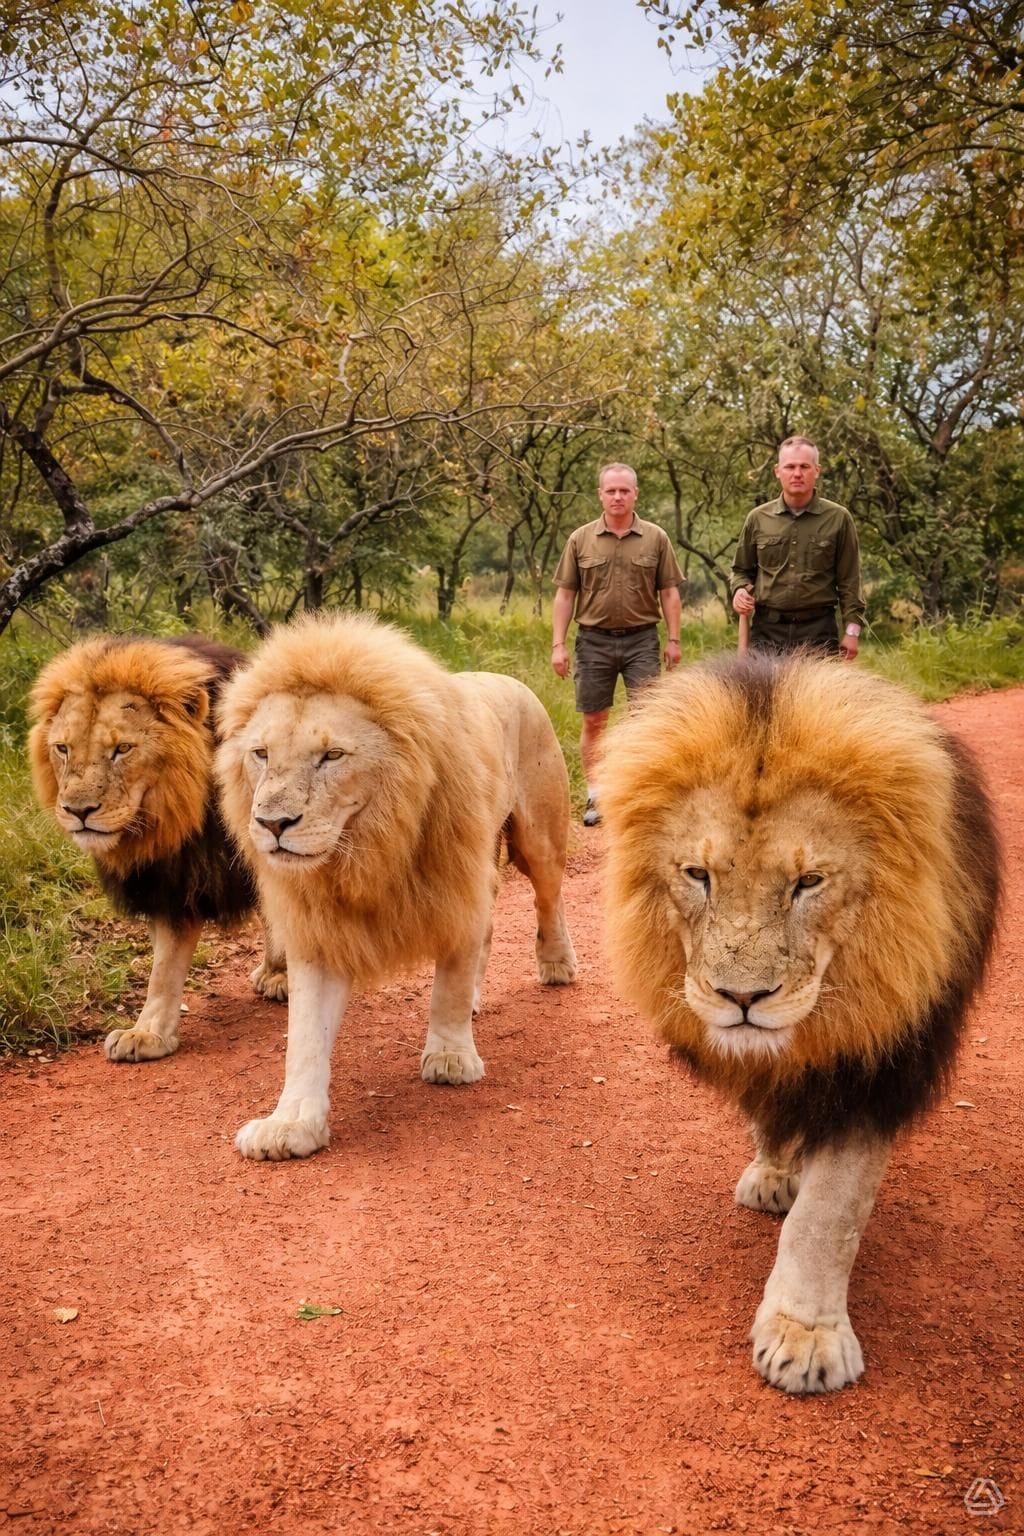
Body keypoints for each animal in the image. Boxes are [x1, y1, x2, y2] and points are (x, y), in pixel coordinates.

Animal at [29, 635, 287, 1062]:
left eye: (122, 749)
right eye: (63, 748)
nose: (78, 811)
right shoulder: (166, 880)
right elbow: (163, 967)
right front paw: (149, 1032)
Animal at [214, 610, 578, 1162]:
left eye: (332, 755)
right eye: (261, 754)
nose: (273, 823)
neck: (365, 848)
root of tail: (510, 680)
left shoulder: (455, 885)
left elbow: (448, 985)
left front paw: (450, 1059)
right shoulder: (320, 929)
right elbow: (305, 1038)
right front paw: (291, 1124)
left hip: (540, 835)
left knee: (548, 898)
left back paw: (557, 965)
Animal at [600, 653, 1000, 1394]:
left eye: (808, 882)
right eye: (697, 874)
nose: (741, 997)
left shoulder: (877, 1069)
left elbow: (828, 1215)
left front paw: (805, 1336)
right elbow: (771, 1114)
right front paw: (773, 1168)